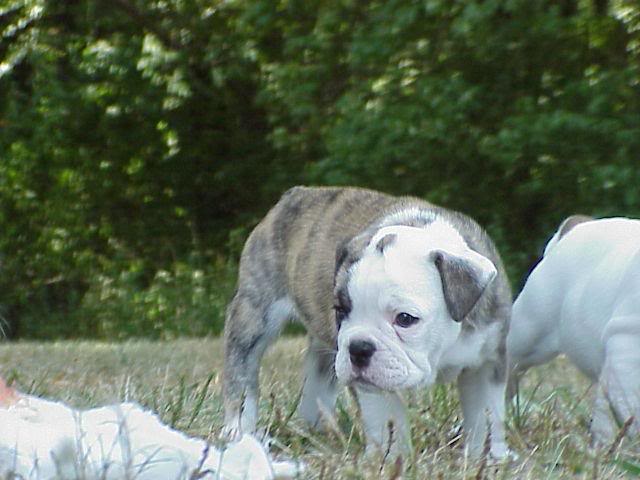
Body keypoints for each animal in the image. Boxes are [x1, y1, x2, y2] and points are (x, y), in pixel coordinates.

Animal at [222, 185, 512, 458]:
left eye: (405, 319)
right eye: (341, 310)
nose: (359, 348)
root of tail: (296, 193)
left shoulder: (487, 363)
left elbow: (487, 414)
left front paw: (488, 457)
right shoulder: (373, 386)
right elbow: (385, 417)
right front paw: (390, 459)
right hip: (254, 313)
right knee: (241, 371)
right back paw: (239, 431)